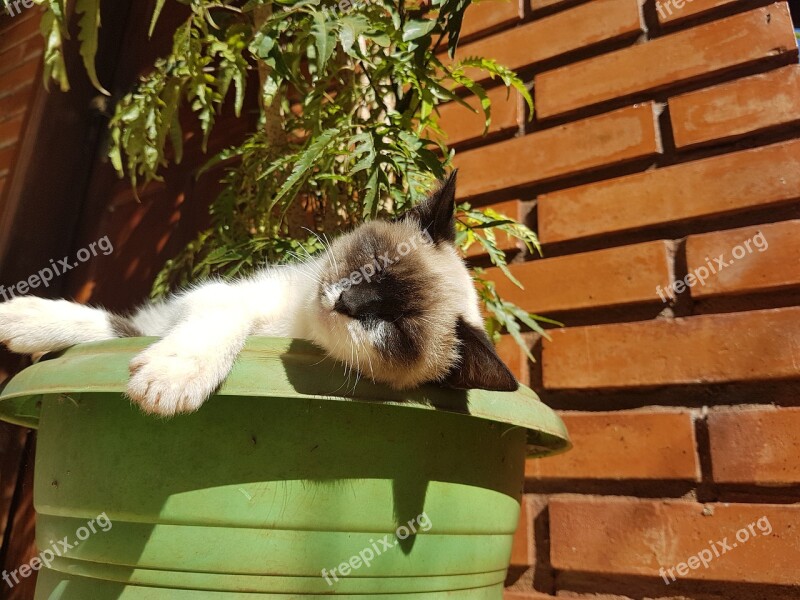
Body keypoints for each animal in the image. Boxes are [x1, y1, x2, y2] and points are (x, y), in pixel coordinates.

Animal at [0, 172, 520, 418]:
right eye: (372, 263)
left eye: (394, 327)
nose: (345, 303)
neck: (291, 324)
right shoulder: (208, 300)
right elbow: (111, 323)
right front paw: (17, 319)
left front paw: (169, 382)